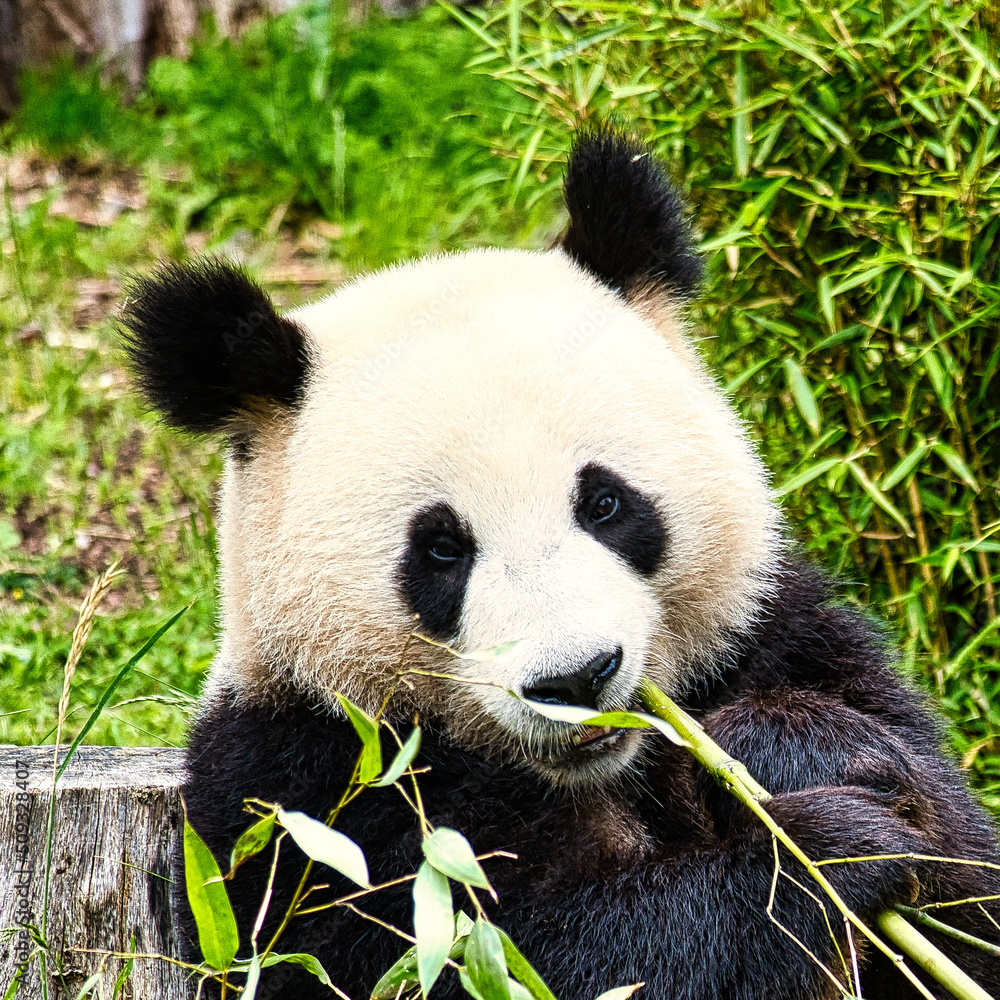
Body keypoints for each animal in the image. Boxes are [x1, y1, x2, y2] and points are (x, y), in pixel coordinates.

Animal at [122, 128, 1000, 1000]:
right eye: (442, 549)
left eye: (604, 504)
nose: (576, 680)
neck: (598, 770)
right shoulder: (311, 788)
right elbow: (488, 954)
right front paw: (823, 853)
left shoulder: (772, 634)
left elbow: (970, 892)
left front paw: (791, 750)